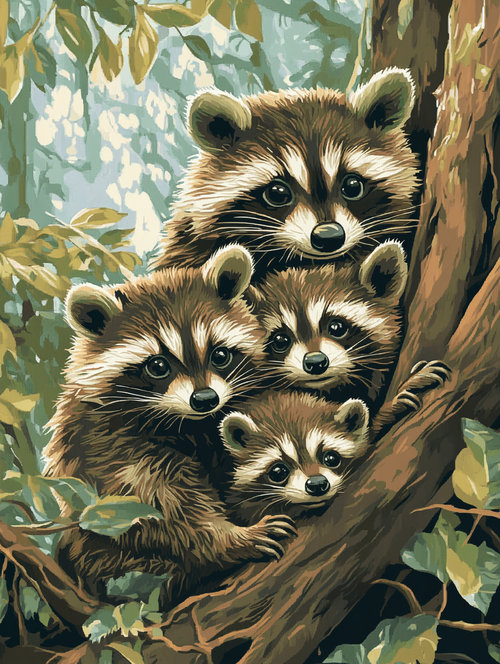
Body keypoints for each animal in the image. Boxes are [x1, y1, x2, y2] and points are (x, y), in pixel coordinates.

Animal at [44, 245, 297, 599]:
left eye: (220, 355)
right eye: (158, 365)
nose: (205, 399)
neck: (187, 422)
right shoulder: (104, 438)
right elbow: (156, 506)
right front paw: (228, 540)